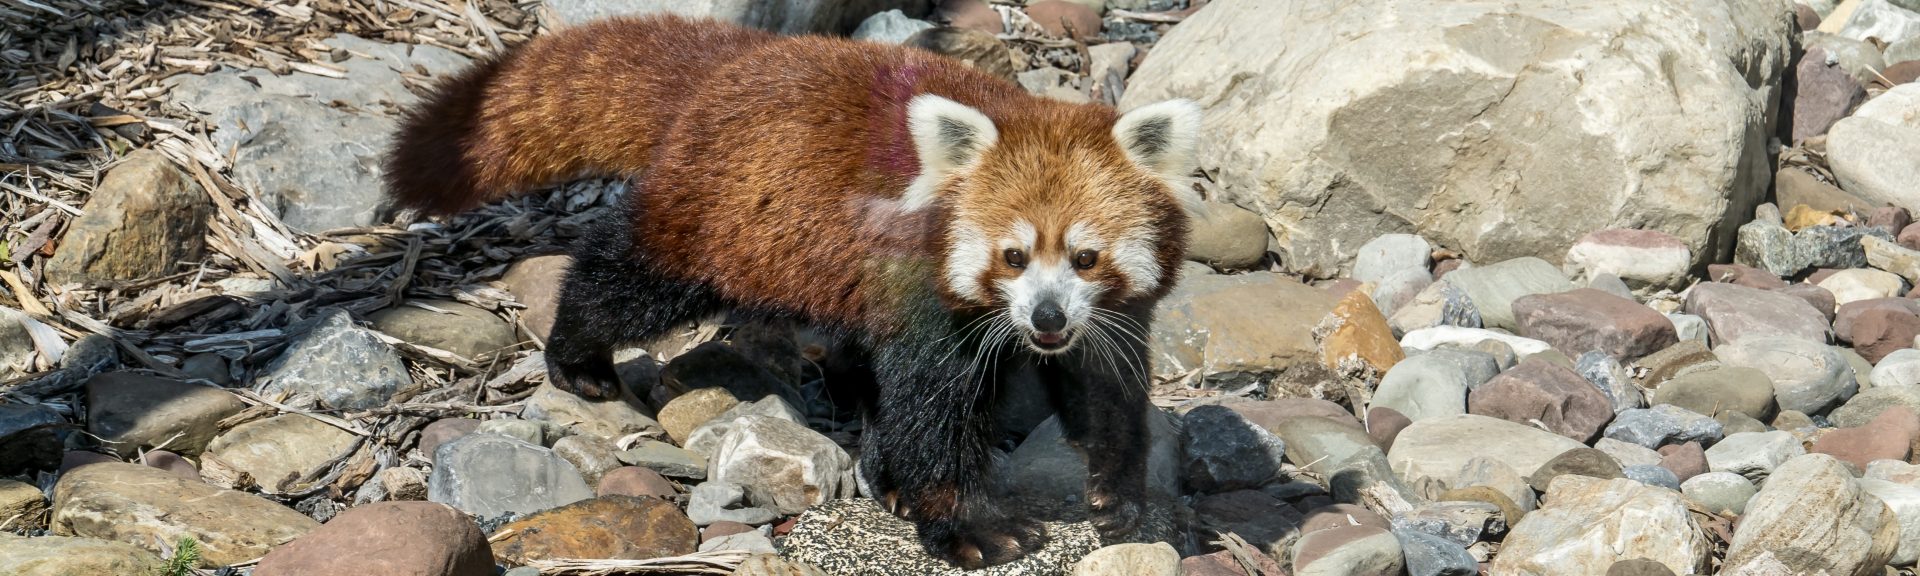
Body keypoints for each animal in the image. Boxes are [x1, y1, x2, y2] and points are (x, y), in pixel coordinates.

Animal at [384, 15, 1198, 568]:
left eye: (1085, 257)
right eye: (1013, 255)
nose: (1047, 316)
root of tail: (743, 57)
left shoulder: (1101, 320)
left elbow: (1105, 388)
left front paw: (1118, 494)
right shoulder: (926, 299)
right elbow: (933, 411)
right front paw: (973, 525)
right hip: (721, 225)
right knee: (630, 280)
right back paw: (578, 356)